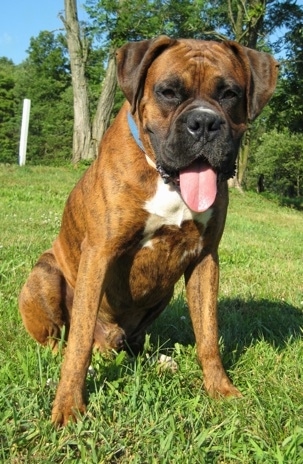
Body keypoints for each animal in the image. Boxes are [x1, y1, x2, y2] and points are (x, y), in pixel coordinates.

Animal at [18, 37, 280, 428]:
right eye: (168, 92)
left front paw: (220, 389)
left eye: (230, 93)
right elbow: (78, 341)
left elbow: (208, 334)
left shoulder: (205, 260)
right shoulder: (99, 255)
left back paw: (158, 360)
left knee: (132, 345)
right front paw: (68, 406)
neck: (167, 178)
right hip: (44, 274)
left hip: (162, 294)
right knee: (61, 342)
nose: (204, 122)